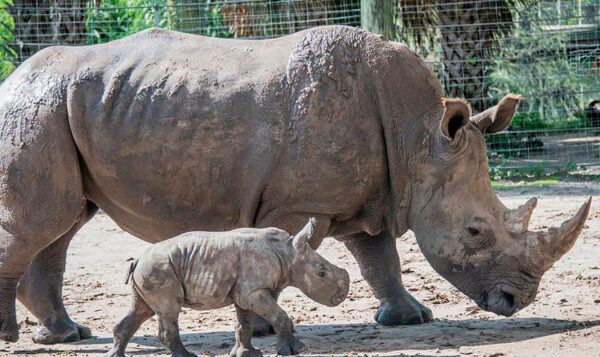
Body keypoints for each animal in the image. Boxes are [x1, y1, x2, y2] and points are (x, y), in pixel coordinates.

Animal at [105, 217, 350, 356]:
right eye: (322, 273)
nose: (343, 294)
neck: (288, 253)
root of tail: (137, 261)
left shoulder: (246, 291)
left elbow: (245, 324)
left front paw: (247, 354)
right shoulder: (253, 290)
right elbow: (280, 316)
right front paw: (295, 351)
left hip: (149, 270)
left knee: (141, 309)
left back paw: (115, 356)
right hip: (158, 269)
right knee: (168, 311)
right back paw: (187, 356)